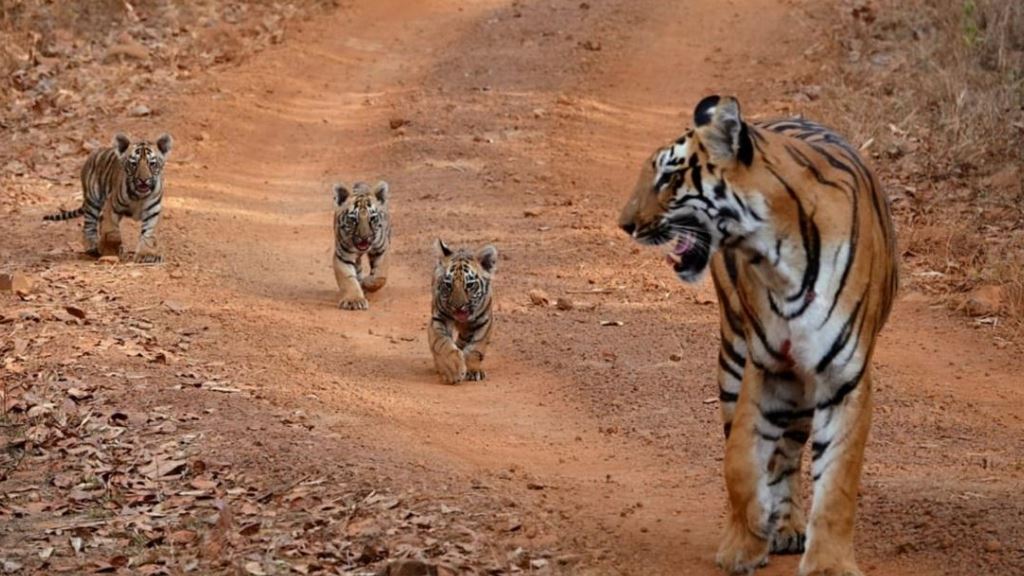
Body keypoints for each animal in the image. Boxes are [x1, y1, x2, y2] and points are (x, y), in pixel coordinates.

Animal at [43, 132, 172, 262]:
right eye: (133, 164)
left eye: (152, 164)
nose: (143, 180)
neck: (139, 196)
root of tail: (94, 153)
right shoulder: (111, 206)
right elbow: (112, 233)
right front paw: (110, 250)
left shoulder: (152, 212)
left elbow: (147, 235)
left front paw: (147, 255)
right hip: (93, 200)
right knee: (89, 226)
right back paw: (93, 246)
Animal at [333, 181, 389, 311]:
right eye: (353, 219)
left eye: (372, 218)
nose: (364, 237)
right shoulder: (343, 256)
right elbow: (348, 280)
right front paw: (354, 300)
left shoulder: (381, 249)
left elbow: (380, 275)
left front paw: (368, 282)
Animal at [430, 239, 497, 383]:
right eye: (448, 285)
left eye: (470, 285)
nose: (458, 306)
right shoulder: (439, 318)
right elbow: (442, 343)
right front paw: (453, 368)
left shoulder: (484, 321)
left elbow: (476, 348)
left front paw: (473, 370)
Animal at [614, 95, 897, 573]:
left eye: (669, 176)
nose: (625, 223)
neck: (778, 259)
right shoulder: (765, 369)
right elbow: (741, 461)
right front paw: (745, 541)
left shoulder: (842, 378)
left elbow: (838, 481)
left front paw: (829, 563)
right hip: (736, 355)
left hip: (802, 384)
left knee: (789, 453)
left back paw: (789, 527)